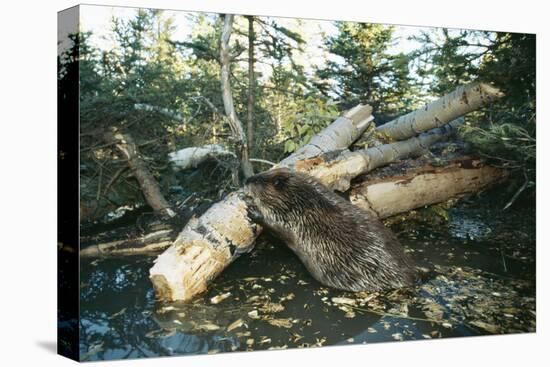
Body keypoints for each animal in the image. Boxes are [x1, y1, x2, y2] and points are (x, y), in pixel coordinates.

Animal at [244, 169, 416, 294]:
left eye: (258, 180)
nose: (247, 180)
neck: (305, 202)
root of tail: (412, 277)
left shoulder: (295, 219)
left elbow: (277, 227)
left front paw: (251, 209)